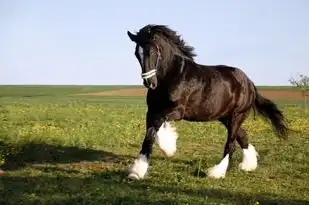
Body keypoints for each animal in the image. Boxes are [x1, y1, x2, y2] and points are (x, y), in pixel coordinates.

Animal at [125, 24, 288, 180]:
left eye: (151, 52)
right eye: (136, 54)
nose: (149, 83)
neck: (172, 76)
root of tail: (249, 83)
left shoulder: (176, 111)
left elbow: (154, 131)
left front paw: (167, 149)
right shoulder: (151, 111)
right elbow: (149, 135)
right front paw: (137, 172)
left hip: (237, 116)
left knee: (231, 144)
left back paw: (217, 173)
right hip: (225, 117)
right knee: (242, 136)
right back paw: (249, 165)